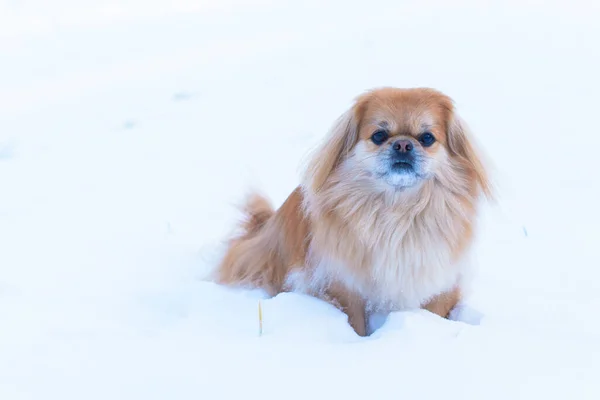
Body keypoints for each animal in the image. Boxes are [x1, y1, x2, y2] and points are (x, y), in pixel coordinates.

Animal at [213, 86, 494, 334]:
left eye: (427, 138)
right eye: (379, 135)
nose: (403, 144)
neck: (398, 209)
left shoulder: (440, 281)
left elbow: (436, 308)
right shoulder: (344, 284)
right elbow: (355, 319)